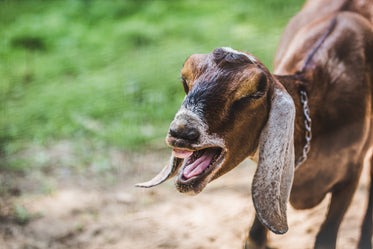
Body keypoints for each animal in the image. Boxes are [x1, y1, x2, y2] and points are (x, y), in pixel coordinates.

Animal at [135, 0, 372, 248]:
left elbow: (326, 237)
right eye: (185, 82)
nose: (181, 132)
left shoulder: (351, 174)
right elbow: (255, 236)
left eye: (252, 94)